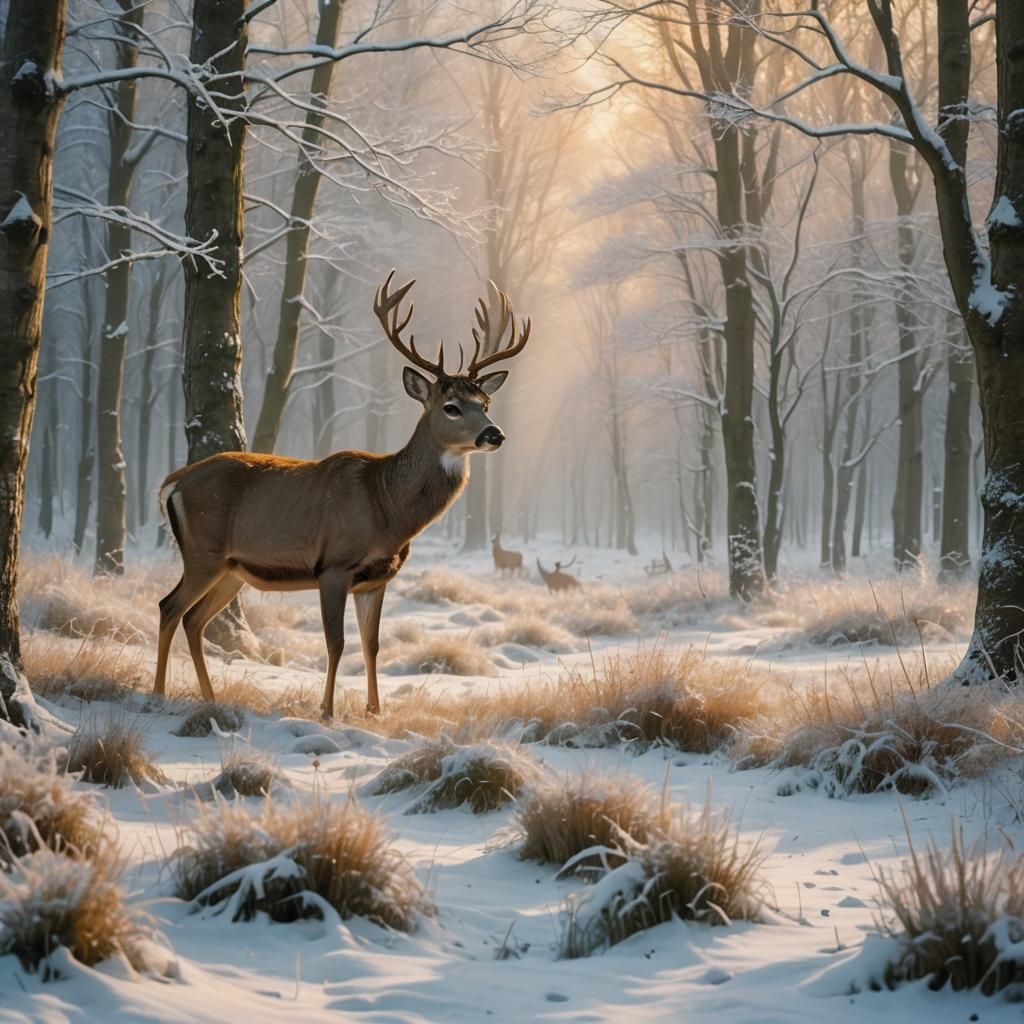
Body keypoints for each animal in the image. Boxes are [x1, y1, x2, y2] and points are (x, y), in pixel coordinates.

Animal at [153, 271, 531, 718]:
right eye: (451, 406)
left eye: (485, 401)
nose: (495, 434)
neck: (387, 506)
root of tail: (172, 482)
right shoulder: (332, 565)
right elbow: (336, 643)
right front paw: (327, 711)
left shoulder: (377, 578)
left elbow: (372, 644)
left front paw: (374, 710)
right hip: (203, 553)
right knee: (170, 607)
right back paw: (158, 693)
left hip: (232, 568)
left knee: (195, 619)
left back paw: (210, 698)